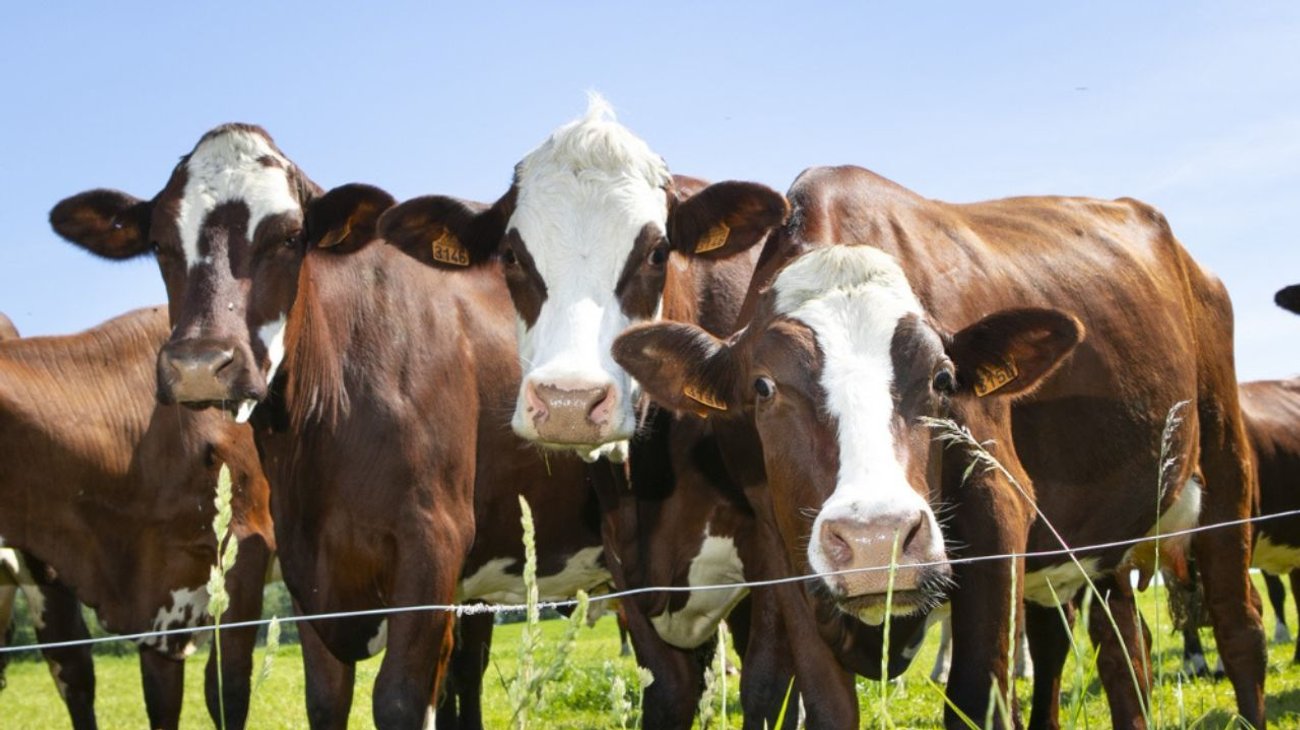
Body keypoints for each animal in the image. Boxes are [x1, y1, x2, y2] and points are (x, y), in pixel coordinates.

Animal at [613, 164, 1265, 729]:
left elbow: (978, 699)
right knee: (1125, 652)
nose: (876, 540)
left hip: (1225, 466)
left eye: (943, 378)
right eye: (763, 387)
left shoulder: (999, 508)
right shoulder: (781, 550)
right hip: (1104, 541)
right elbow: (827, 707)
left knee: (1240, 628)